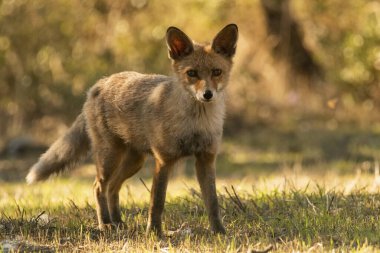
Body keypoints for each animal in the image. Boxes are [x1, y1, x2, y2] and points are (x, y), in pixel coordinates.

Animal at [26, 23, 239, 235]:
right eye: (192, 73)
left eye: (216, 72)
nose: (207, 94)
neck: (195, 124)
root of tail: (101, 82)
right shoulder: (164, 160)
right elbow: (157, 202)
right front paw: (154, 232)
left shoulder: (206, 159)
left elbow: (212, 203)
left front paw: (219, 232)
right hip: (109, 157)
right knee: (98, 187)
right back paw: (105, 224)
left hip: (135, 161)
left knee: (113, 188)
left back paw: (118, 221)